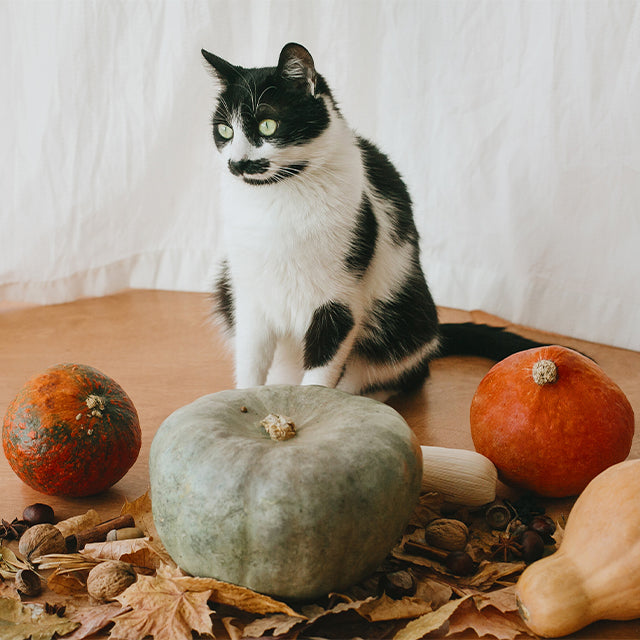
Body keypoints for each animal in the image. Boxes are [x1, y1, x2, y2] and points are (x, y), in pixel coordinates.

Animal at [200, 42, 540, 398]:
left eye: (268, 125)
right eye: (225, 130)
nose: (236, 163)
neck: (277, 199)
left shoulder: (339, 299)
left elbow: (322, 370)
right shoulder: (249, 296)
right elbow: (250, 360)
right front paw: (243, 400)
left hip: (405, 317)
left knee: (403, 372)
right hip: (226, 285)